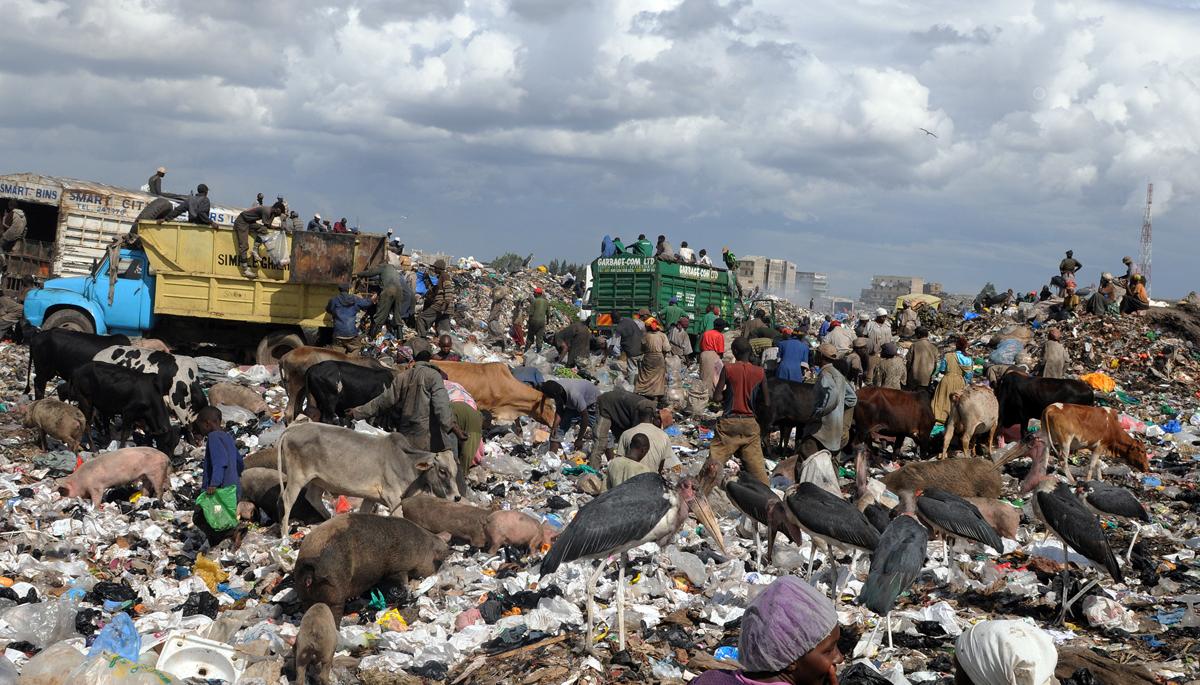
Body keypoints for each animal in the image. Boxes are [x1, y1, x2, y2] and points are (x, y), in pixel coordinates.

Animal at [274, 417, 460, 535]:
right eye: (442, 471)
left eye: (455, 471)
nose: (457, 497)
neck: (406, 462)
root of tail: (293, 428)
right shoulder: (392, 497)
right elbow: (400, 517)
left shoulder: (371, 497)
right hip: (298, 477)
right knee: (287, 499)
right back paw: (284, 535)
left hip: (318, 480)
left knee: (312, 497)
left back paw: (330, 519)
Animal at [295, 513, 451, 623]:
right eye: (438, 560)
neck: (424, 547)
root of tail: (310, 568)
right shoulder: (399, 568)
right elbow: (398, 583)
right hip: (334, 591)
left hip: (305, 594)